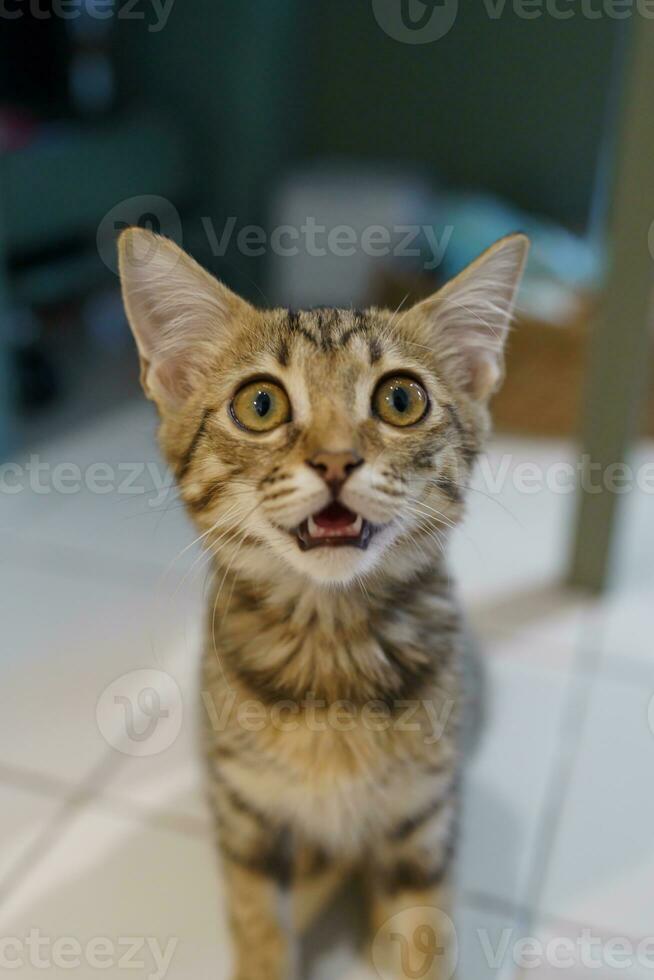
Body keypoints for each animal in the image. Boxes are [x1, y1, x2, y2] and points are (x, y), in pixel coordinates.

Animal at [116, 226, 528, 976]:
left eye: (401, 400)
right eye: (260, 405)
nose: (336, 460)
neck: (331, 650)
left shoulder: (426, 821)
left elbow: (424, 938)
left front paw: (394, 938)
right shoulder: (245, 817)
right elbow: (258, 926)